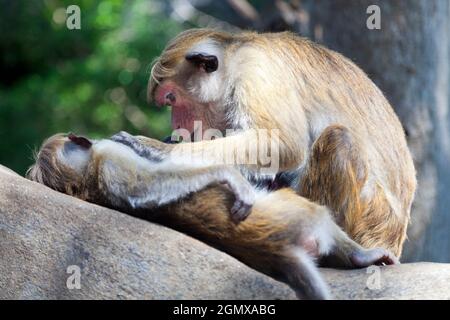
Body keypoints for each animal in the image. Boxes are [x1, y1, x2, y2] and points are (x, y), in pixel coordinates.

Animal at [27, 132, 398, 300]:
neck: (87, 178)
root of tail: (279, 250)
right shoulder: (112, 160)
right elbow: (149, 183)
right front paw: (227, 175)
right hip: (300, 214)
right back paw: (361, 256)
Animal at [146, 27, 416, 258]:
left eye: (171, 98)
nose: (176, 124)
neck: (235, 55)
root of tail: (394, 239)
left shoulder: (256, 71)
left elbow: (284, 144)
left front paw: (162, 150)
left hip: (370, 216)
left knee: (339, 139)